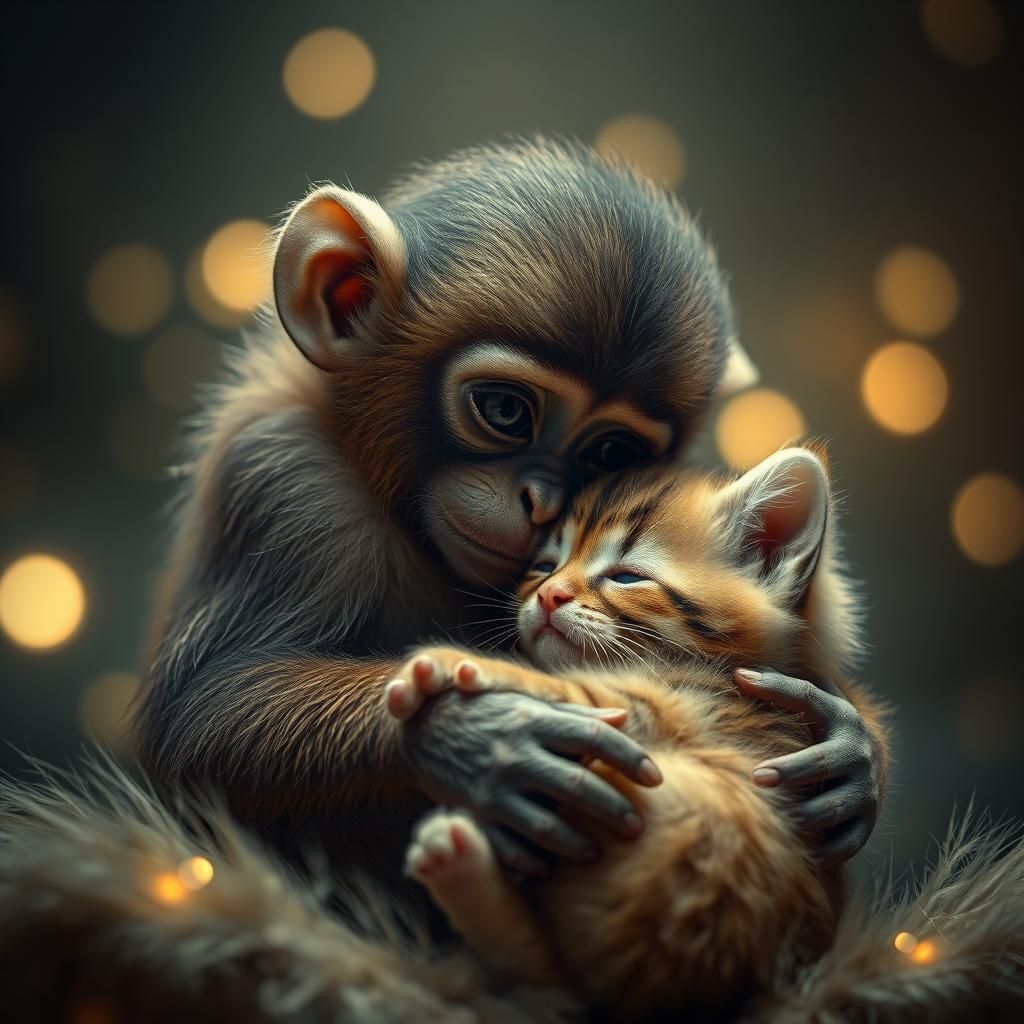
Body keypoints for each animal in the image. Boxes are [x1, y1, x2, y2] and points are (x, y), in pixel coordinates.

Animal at [136, 139, 882, 908]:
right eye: (504, 411)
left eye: (609, 451)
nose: (540, 498)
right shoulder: (284, 484)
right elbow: (204, 721)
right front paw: (476, 735)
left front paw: (850, 749)